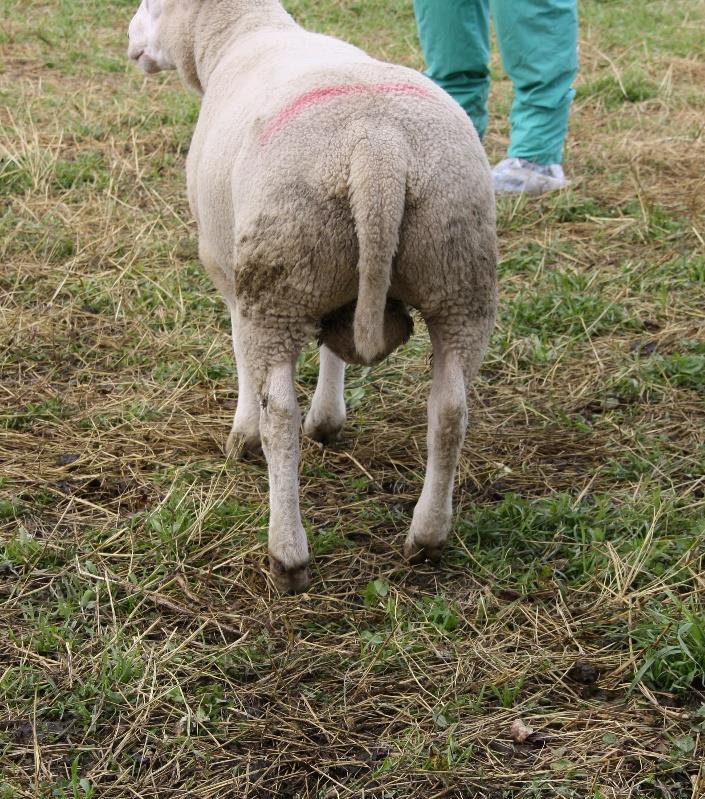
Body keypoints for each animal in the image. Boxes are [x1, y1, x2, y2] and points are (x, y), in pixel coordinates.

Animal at [128, 0, 500, 592]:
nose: (130, 40)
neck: (240, 35)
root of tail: (378, 149)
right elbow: (333, 350)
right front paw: (328, 422)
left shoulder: (227, 267)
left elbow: (243, 364)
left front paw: (242, 436)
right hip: (458, 272)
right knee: (449, 410)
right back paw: (427, 537)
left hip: (278, 276)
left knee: (280, 413)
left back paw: (287, 554)